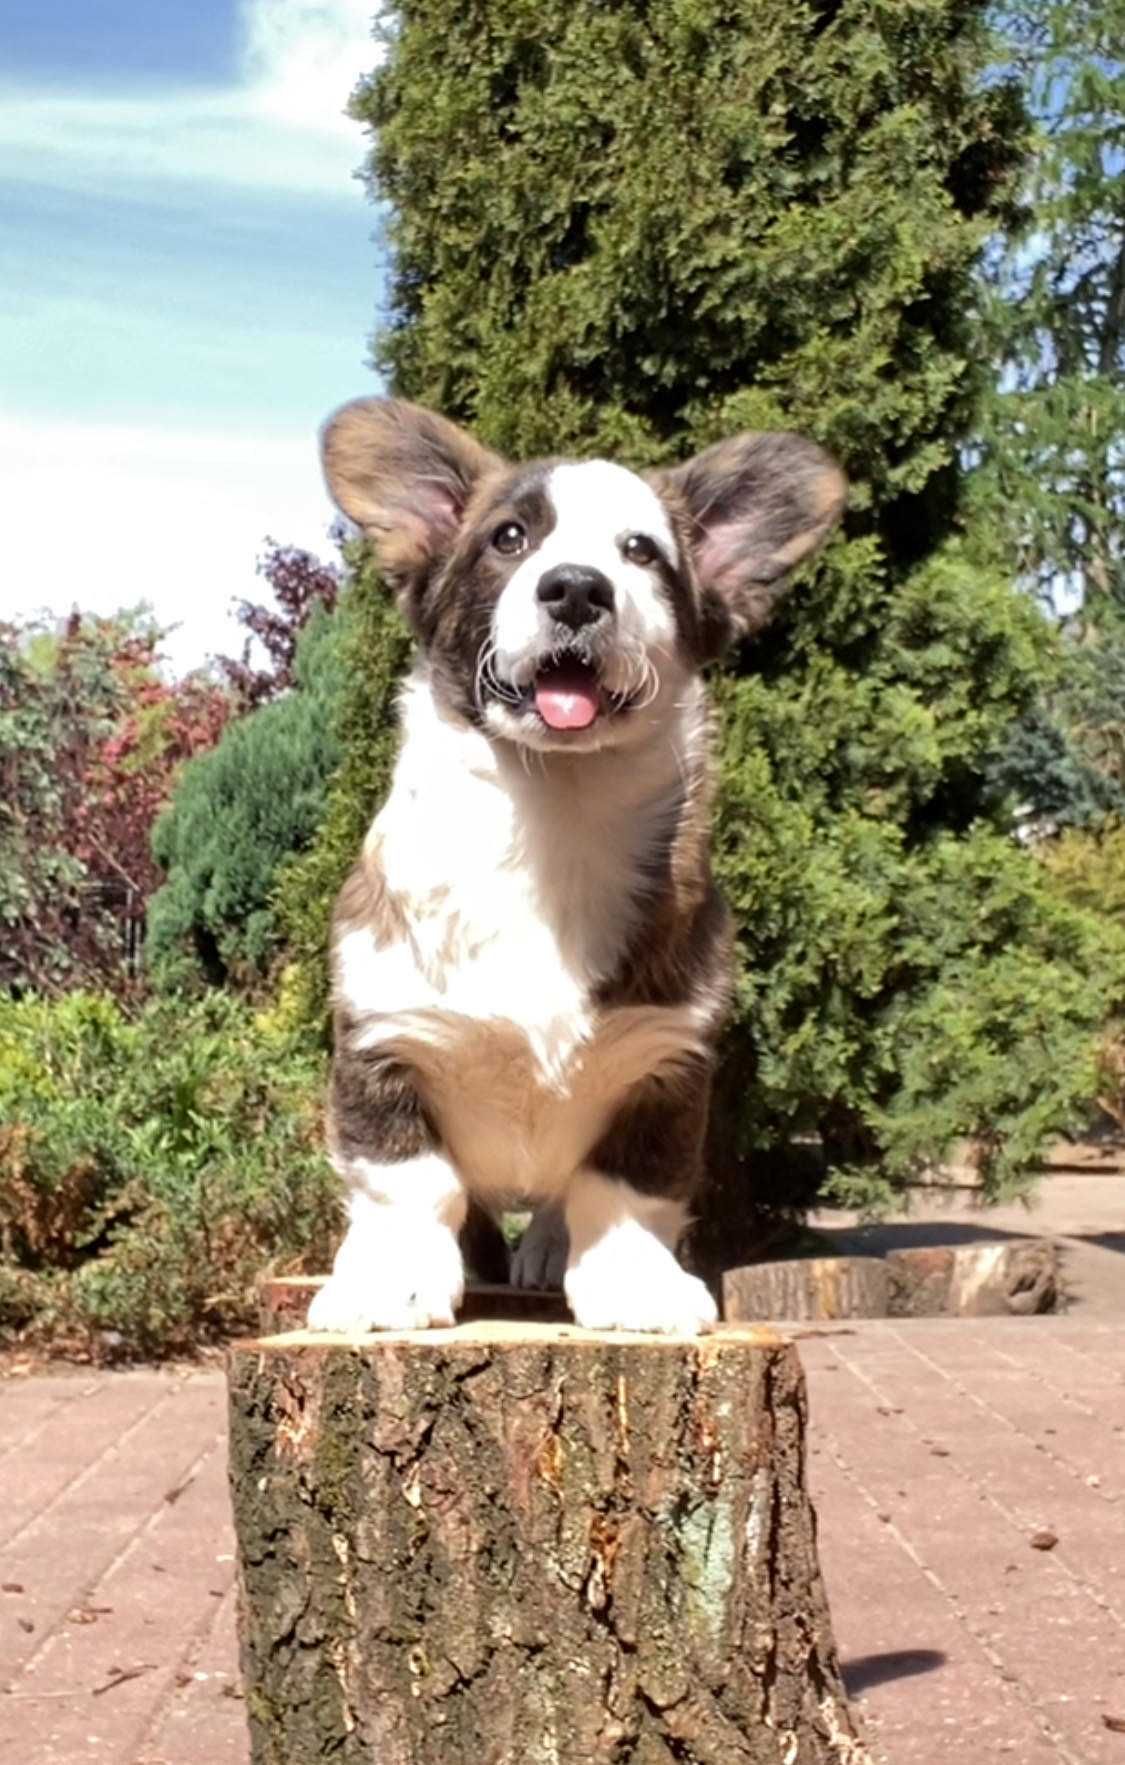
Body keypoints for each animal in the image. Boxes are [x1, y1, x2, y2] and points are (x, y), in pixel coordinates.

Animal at [302, 397, 837, 1334]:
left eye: (641, 552)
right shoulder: (385, 1041)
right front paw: (389, 1282)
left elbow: (623, 1189)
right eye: (509, 538)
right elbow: (408, 1182)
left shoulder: (664, 1065)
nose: (578, 587)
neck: (551, 812)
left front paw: (632, 1283)